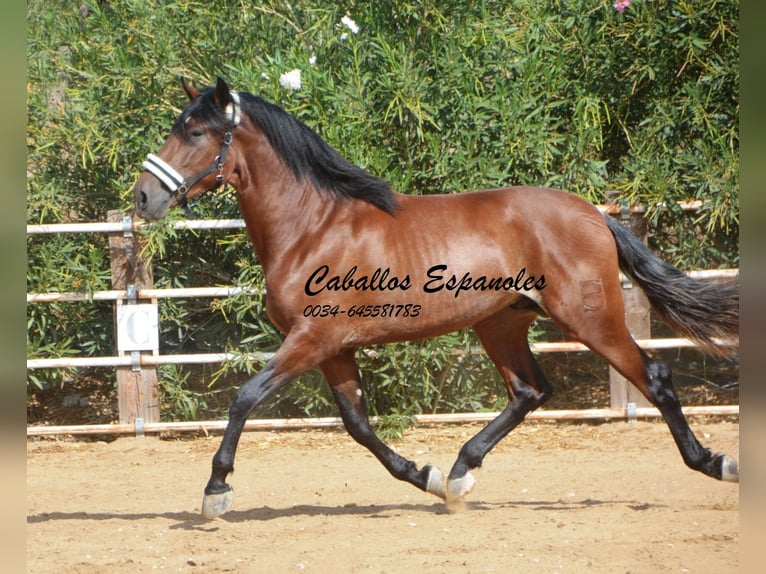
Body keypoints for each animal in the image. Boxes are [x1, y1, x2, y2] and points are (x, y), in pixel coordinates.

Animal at [135, 77, 740, 520]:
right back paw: (457, 475)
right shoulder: (333, 347)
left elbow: (245, 398)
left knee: (652, 377)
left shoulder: (312, 338)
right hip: (500, 324)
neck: (313, 227)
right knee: (530, 390)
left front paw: (216, 490)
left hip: (590, 319)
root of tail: (594, 214)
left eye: (194, 132)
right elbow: (358, 425)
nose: (143, 197)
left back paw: (715, 463)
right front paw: (422, 477)